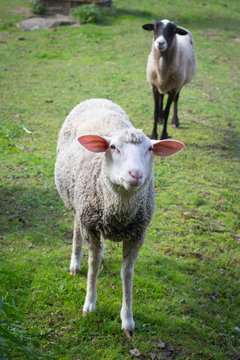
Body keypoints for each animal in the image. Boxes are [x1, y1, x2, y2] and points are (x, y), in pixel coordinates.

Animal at [54, 98, 184, 338]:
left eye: (150, 148)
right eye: (113, 147)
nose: (135, 174)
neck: (119, 211)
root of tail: (97, 98)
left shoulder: (137, 234)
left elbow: (127, 274)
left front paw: (128, 320)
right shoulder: (90, 224)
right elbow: (93, 265)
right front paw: (89, 305)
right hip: (78, 203)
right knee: (77, 228)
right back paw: (75, 262)